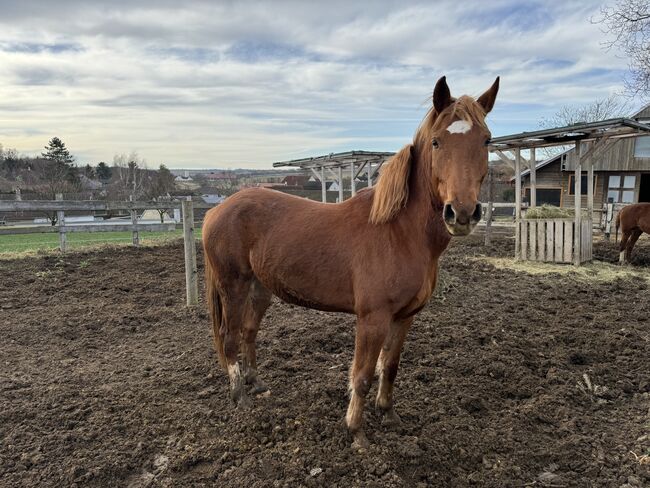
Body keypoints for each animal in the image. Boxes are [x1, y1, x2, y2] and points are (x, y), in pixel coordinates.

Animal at [200, 75, 498, 446]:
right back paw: (240, 399)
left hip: (260, 288)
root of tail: (216, 211)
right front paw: (356, 431)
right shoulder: (373, 318)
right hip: (233, 286)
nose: (462, 213)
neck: (399, 232)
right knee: (229, 336)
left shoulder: (405, 317)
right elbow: (363, 374)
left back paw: (256, 385)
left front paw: (389, 414)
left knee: (249, 332)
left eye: (486, 140)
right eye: (436, 142)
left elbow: (391, 367)